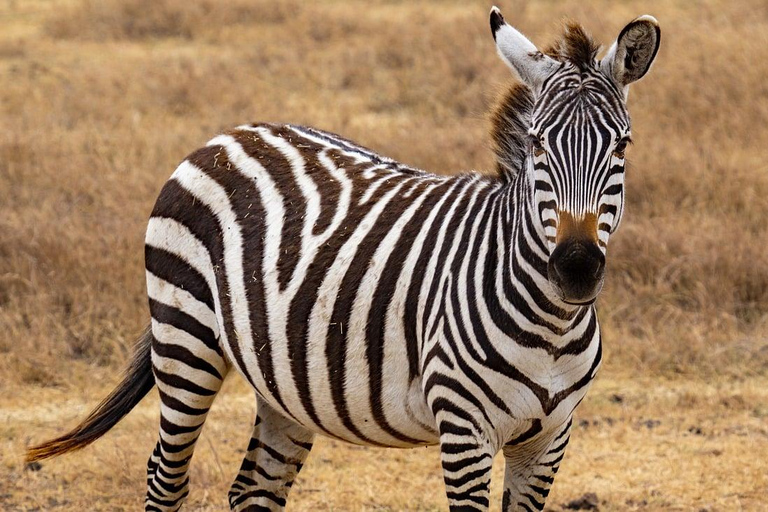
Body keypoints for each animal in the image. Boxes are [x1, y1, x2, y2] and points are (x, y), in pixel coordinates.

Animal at [25, 8, 660, 512]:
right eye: (536, 144)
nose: (575, 268)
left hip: (281, 379)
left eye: (623, 146)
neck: (552, 324)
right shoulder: (464, 432)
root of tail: (229, 135)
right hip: (185, 341)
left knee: (253, 489)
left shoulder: (549, 440)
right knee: (165, 478)